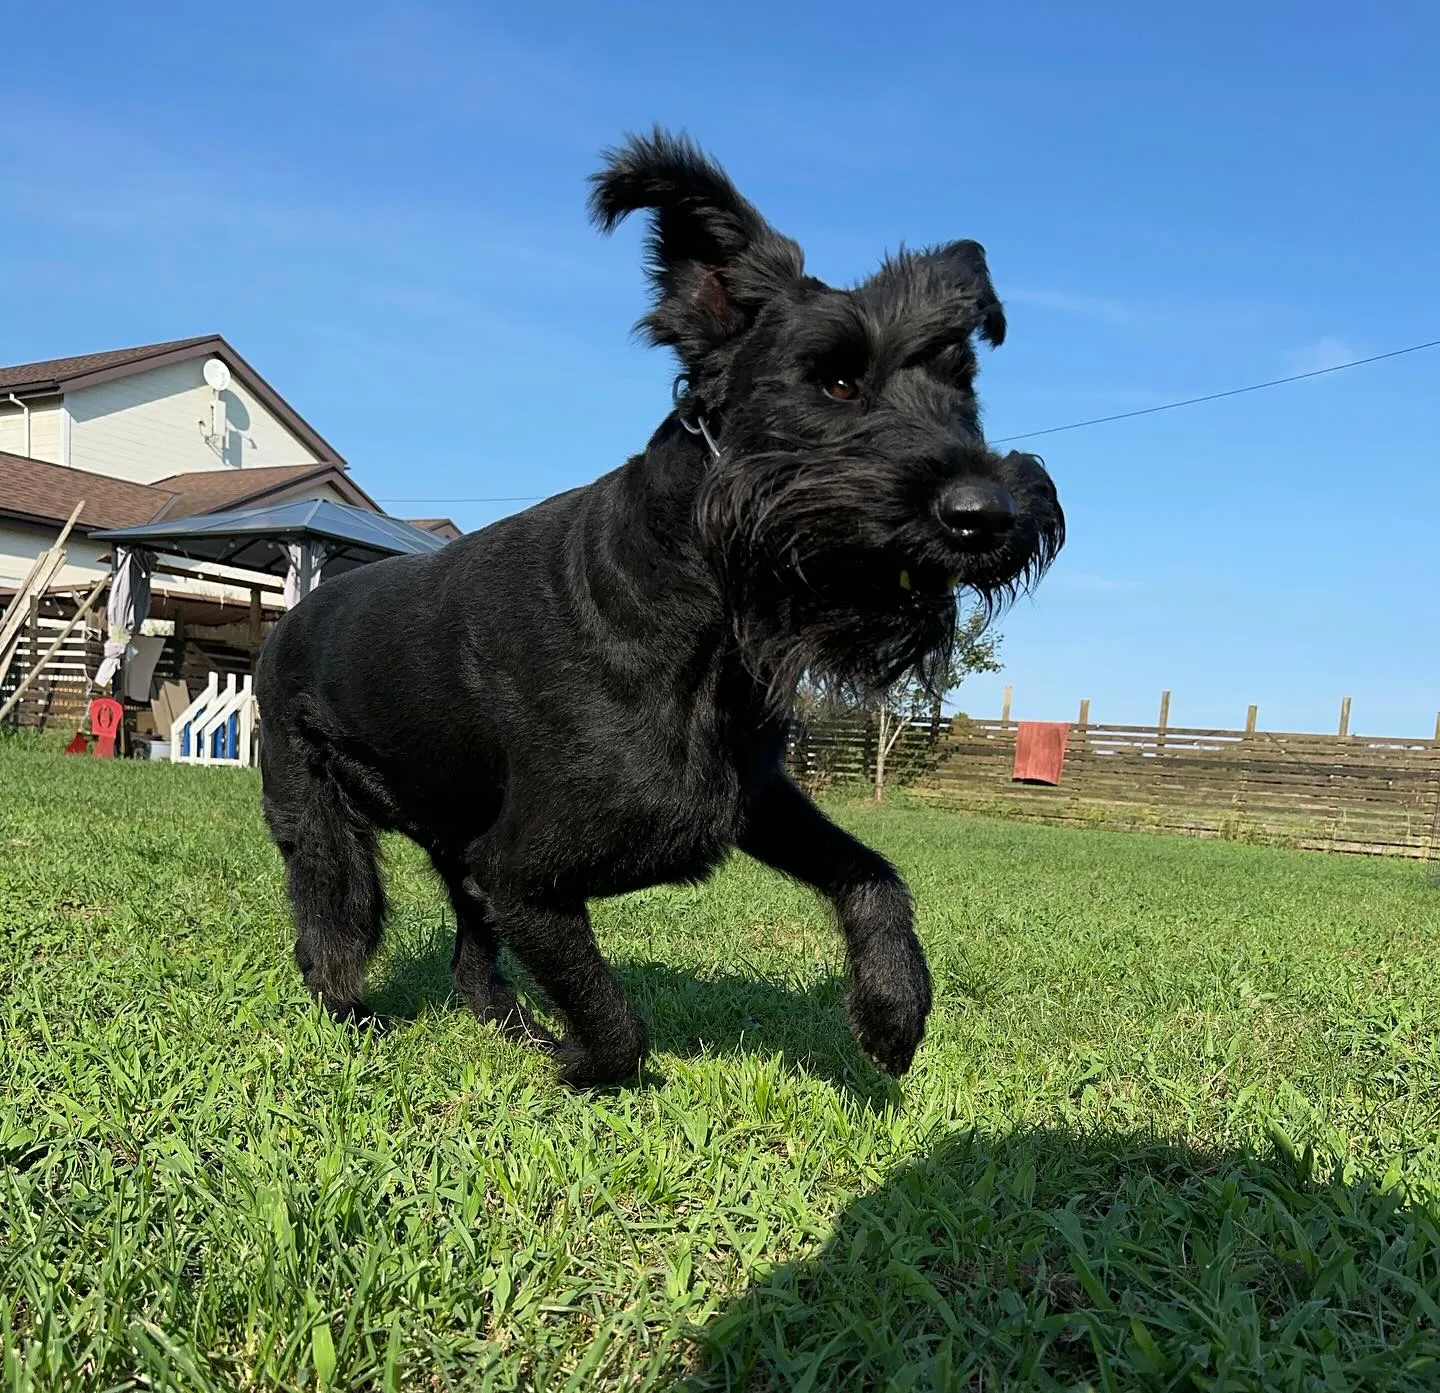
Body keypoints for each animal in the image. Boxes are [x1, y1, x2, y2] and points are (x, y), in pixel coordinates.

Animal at [253, 131, 1065, 1089]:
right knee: (329, 934)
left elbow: (871, 873)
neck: (699, 617)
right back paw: (362, 1019)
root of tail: (293, 617)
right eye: (834, 381)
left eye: (962, 384)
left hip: (453, 845)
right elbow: (616, 1024)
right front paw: (581, 1067)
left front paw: (893, 1009)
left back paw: (513, 1030)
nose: (989, 514)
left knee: (469, 963)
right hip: (327, 831)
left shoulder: (753, 798)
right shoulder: (522, 874)